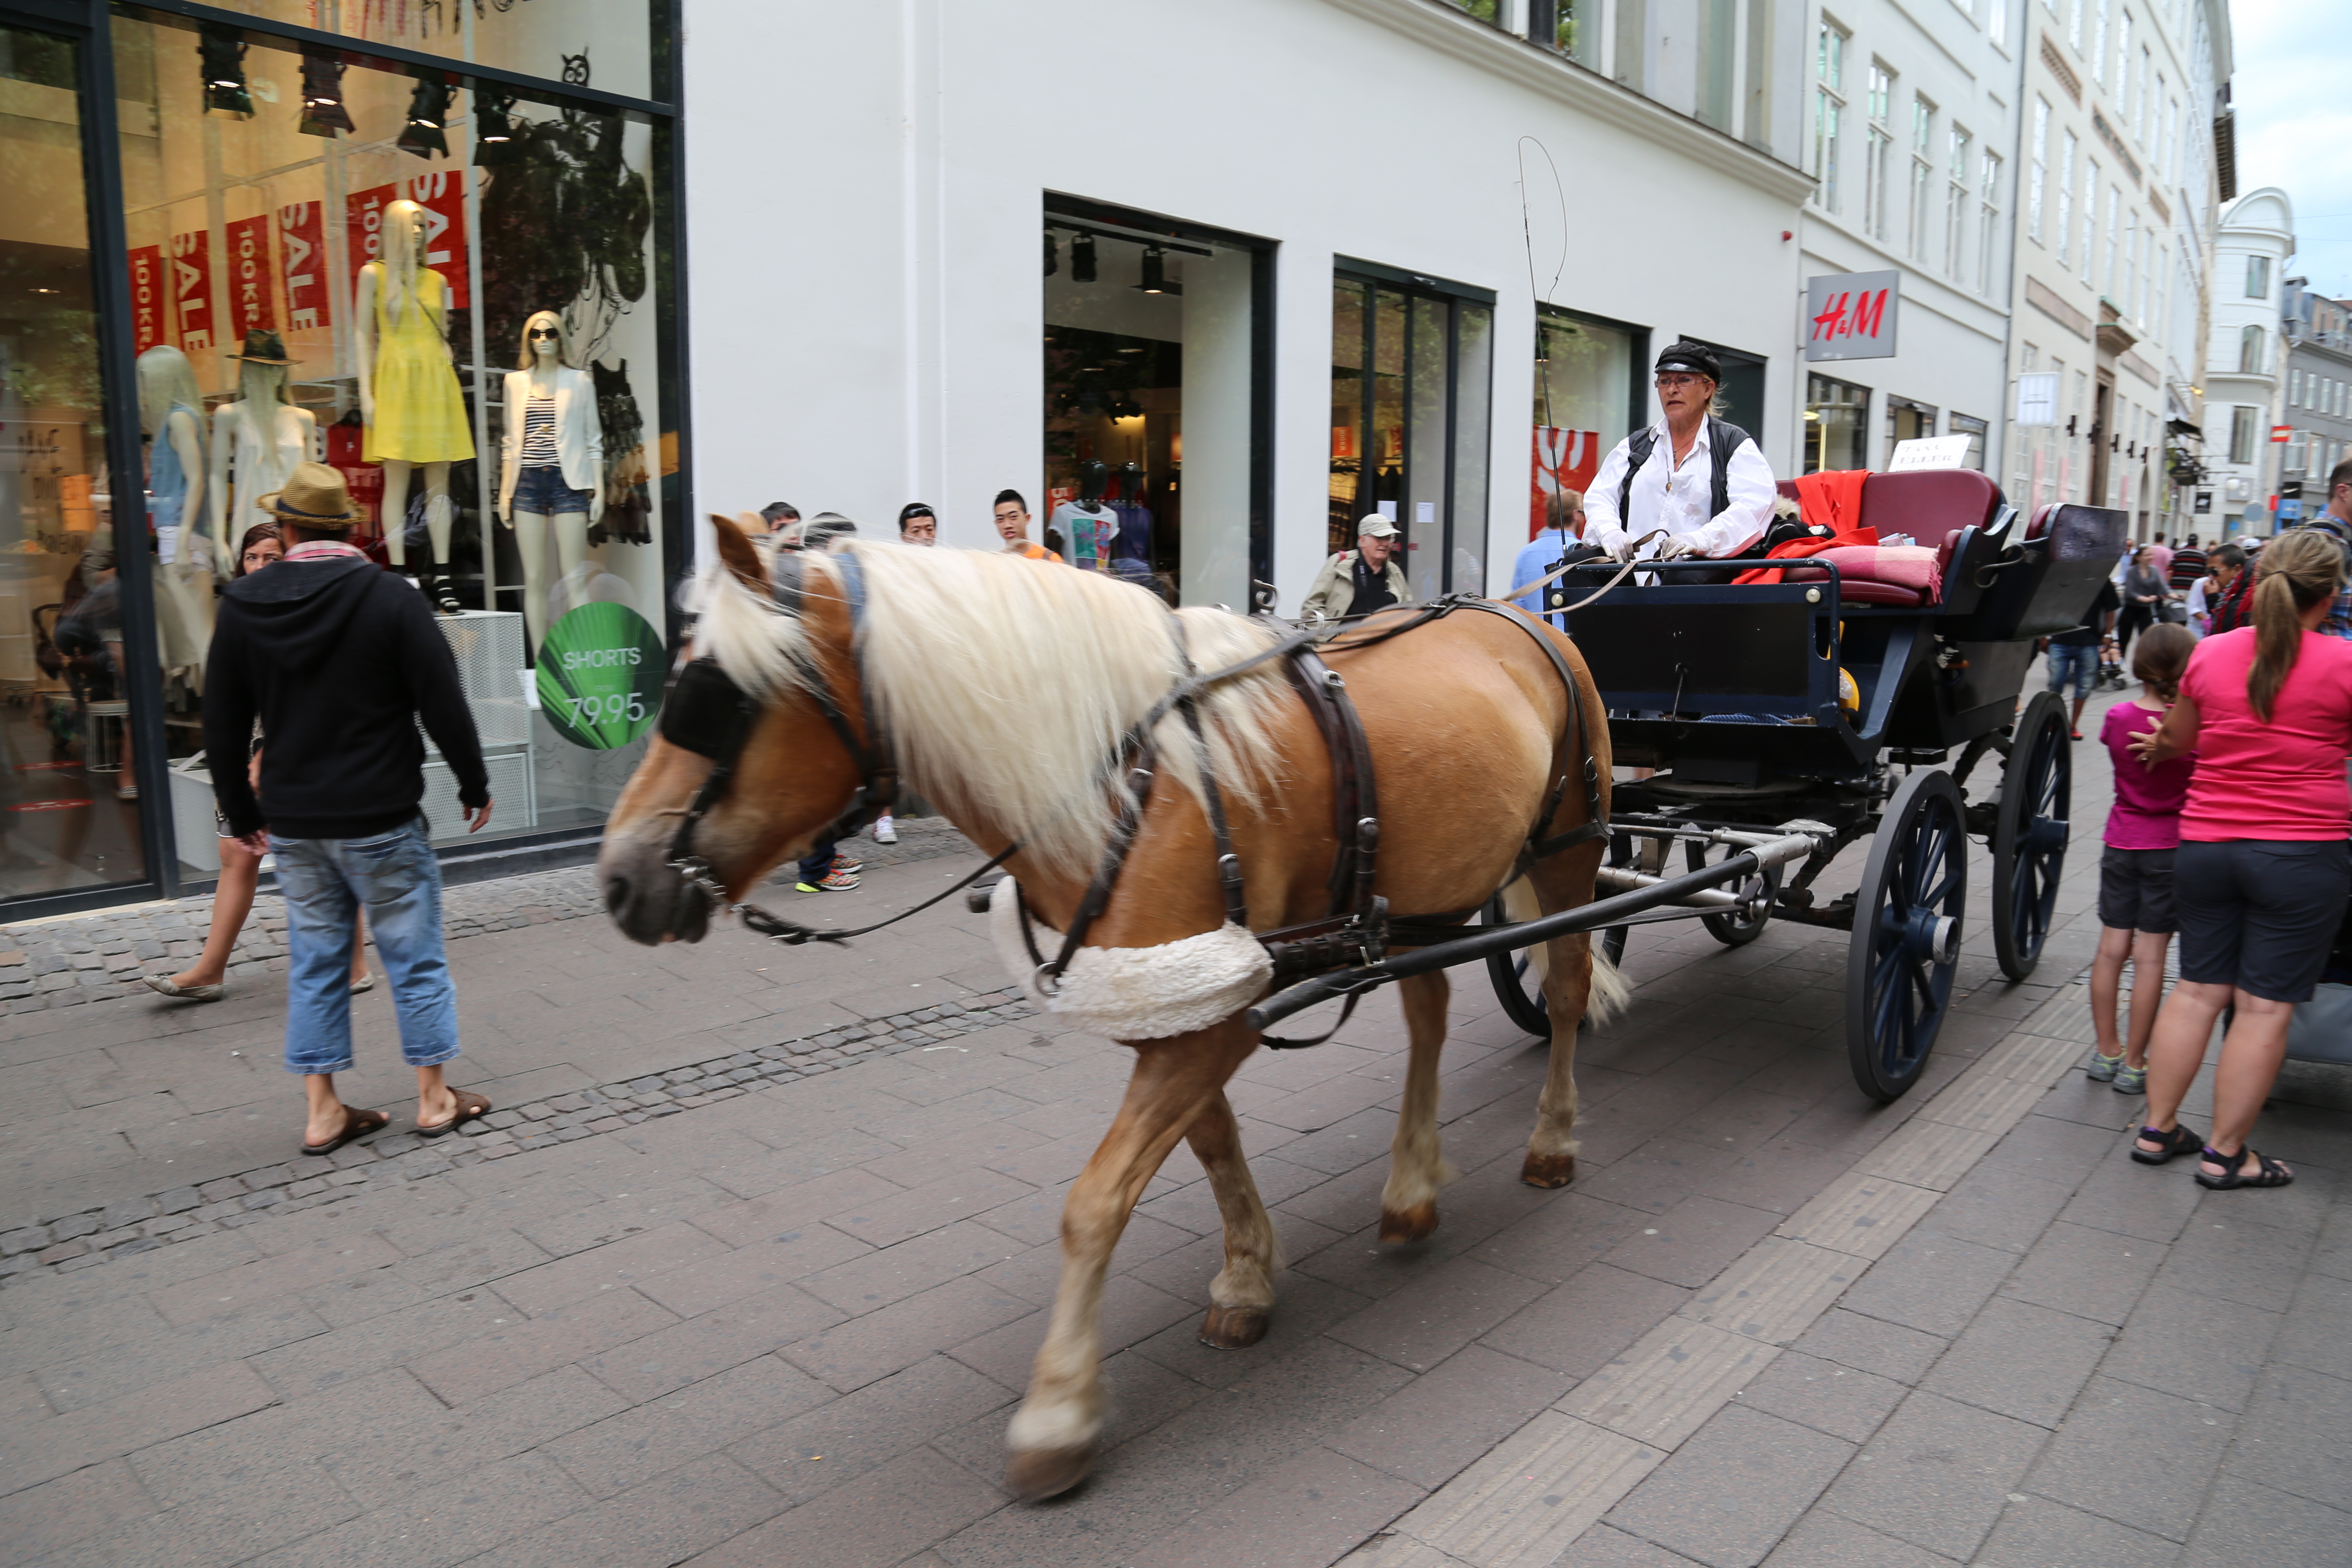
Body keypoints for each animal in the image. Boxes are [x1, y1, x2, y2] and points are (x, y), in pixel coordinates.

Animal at [597, 522, 1627, 1504]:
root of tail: (1521, 613)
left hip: (1570, 848)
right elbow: (1210, 1146)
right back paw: (1411, 1190)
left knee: (1566, 989)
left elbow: (1094, 1203)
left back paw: (1552, 1143)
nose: (619, 881)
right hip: (1426, 895)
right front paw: (1247, 1275)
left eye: (713, 696)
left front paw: (1058, 1413)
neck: (1132, 782)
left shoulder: (1207, 1023)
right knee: (1429, 1013)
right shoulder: (1179, 1005)